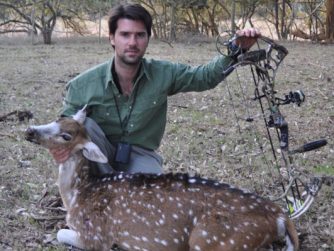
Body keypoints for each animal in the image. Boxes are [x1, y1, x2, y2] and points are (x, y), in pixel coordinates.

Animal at [24, 107, 298, 250]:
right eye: (58, 117)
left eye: (66, 136)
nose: (30, 130)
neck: (77, 195)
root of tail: (280, 216)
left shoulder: (96, 236)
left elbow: (60, 233)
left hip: (212, 239)